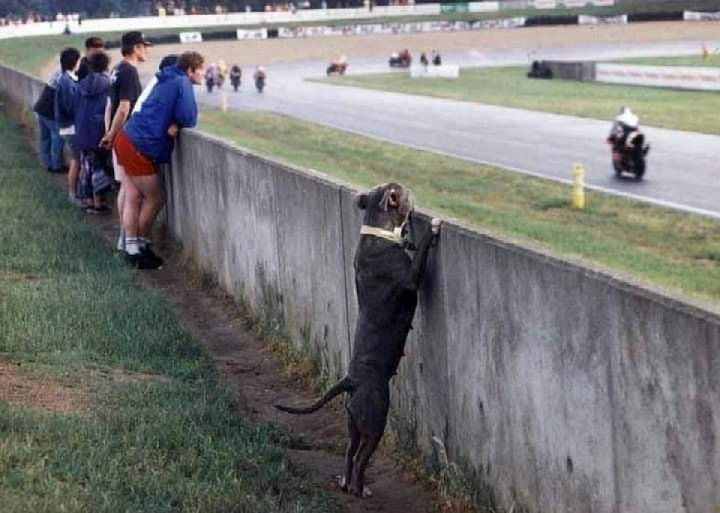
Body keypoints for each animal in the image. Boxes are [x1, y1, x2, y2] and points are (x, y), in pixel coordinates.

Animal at [276, 182, 442, 498]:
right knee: (362, 457)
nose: (411, 192)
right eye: (403, 191)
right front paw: (433, 227)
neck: (378, 231)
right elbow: (422, 251)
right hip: (375, 422)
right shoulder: (411, 276)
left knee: (349, 453)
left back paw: (345, 481)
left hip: (353, 422)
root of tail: (351, 381)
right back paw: (358, 488)